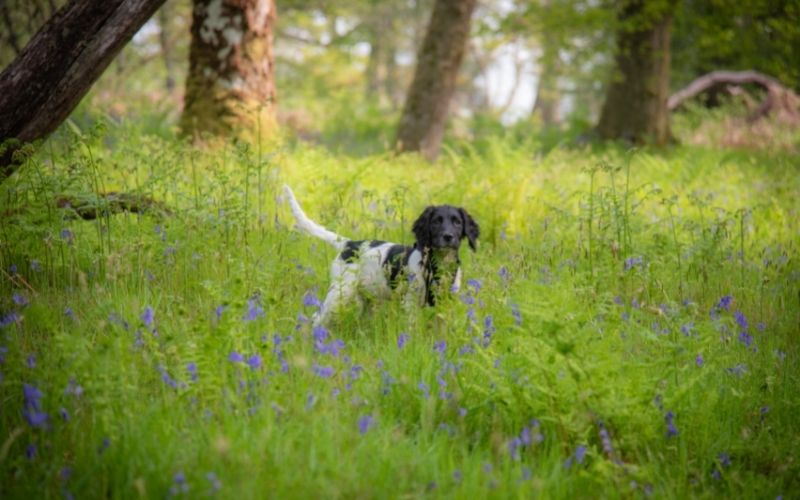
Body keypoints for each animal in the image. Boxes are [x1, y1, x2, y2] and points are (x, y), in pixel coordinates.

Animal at [284, 186, 478, 326]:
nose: (448, 237)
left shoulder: (447, 302)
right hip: (340, 293)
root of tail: (349, 244)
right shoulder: (410, 302)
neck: (436, 264)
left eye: (457, 222)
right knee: (317, 318)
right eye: (436, 222)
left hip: (366, 298)